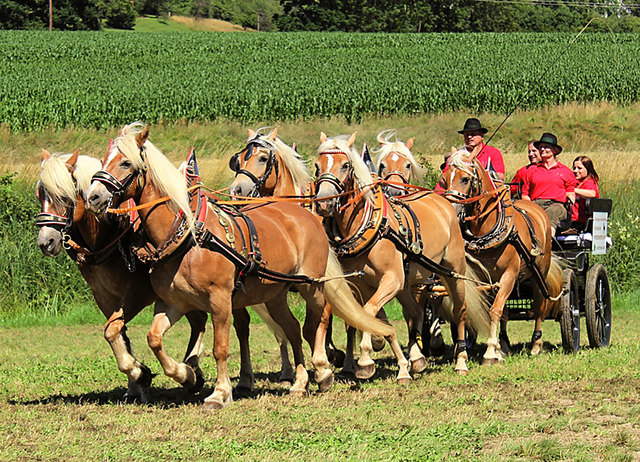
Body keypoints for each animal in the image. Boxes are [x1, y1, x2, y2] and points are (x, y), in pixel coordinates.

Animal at [35, 148, 208, 400]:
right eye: (40, 195)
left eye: (64, 196)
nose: (45, 242)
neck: (107, 235)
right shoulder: (104, 296)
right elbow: (118, 332)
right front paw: (134, 382)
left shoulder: (138, 293)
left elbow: (111, 330)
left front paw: (140, 373)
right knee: (199, 320)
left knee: (200, 320)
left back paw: (190, 372)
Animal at [86, 122, 396, 408]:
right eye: (104, 159)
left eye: (126, 162)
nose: (93, 196)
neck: (190, 237)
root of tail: (308, 216)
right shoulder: (173, 302)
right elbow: (154, 338)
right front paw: (185, 374)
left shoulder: (220, 299)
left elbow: (221, 347)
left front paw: (219, 393)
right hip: (275, 294)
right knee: (293, 328)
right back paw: (299, 381)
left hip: (313, 286)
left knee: (317, 321)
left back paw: (324, 371)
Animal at [312, 131, 488, 378]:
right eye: (317, 166)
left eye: (346, 165)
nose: (324, 203)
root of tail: (444, 201)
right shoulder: (361, 284)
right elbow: (365, 316)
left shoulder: (391, 279)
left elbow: (368, 311)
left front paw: (365, 359)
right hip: (409, 281)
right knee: (415, 312)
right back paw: (417, 359)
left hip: (452, 271)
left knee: (459, 310)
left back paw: (461, 360)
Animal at [440, 148, 564, 360]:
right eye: (444, 179)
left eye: (465, 179)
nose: (450, 210)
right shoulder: (481, 277)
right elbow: (476, 308)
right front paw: (488, 347)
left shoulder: (509, 274)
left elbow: (494, 311)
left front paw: (490, 351)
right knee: (506, 310)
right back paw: (504, 344)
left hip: (539, 273)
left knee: (539, 305)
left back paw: (536, 344)